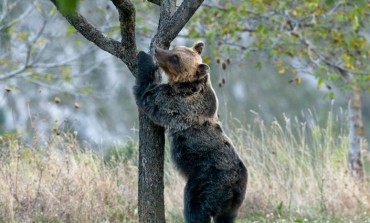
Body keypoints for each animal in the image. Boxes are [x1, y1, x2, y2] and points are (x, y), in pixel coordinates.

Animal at [134, 42, 247, 223]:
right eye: (174, 48)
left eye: (175, 58)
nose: (158, 50)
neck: (186, 85)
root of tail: (236, 186)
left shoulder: (175, 102)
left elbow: (148, 95)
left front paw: (144, 57)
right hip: (233, 205)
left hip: (206, 182)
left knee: (195, 209)